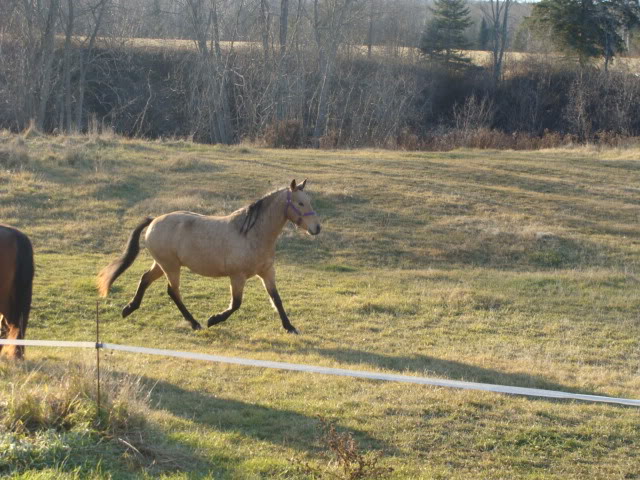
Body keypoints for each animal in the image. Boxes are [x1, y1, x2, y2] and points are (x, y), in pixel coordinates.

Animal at [97, 180, 320, 334]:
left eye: (309, 202)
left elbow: (277, 300)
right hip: (171, 267)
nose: (316, 228)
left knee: (145, 279)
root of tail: (154, 220)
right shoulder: (237, 276)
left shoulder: (267, 273)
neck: (250, 233)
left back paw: (128, 309)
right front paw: (213, 319)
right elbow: (236, 304)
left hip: (162, 265)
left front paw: (290, 327)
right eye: (300, 203)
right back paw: (195, 323)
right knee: (173, 292)